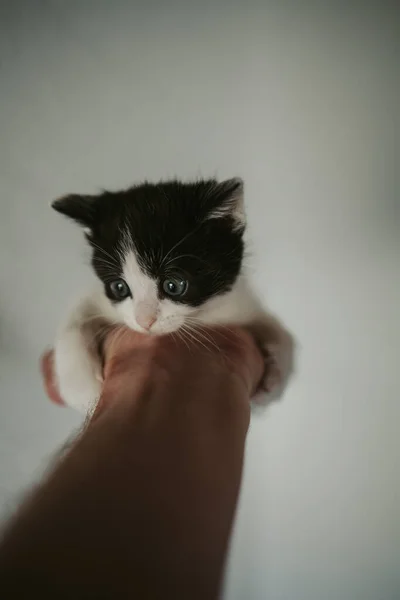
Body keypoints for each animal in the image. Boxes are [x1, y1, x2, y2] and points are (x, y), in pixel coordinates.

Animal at [51, 178, 294, 412]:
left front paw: (275, 378)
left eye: (173, 285)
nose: (144, 321)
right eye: (119, 287)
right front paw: (81, 389)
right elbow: (77, 317)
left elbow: (279, 331)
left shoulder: (239, 305)